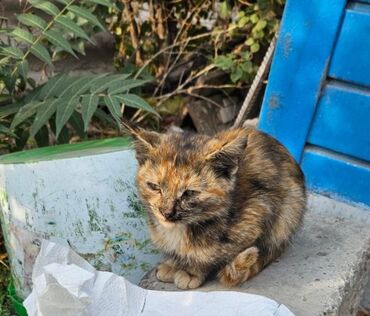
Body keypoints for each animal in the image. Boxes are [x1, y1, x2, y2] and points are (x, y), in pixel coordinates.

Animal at [130, 127, 306, 290]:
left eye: (189, 193)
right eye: (154, 187)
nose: (166, 213)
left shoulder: (258, 210)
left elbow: (210, 256)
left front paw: (191, 272)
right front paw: (173, 264)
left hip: (289, 211)